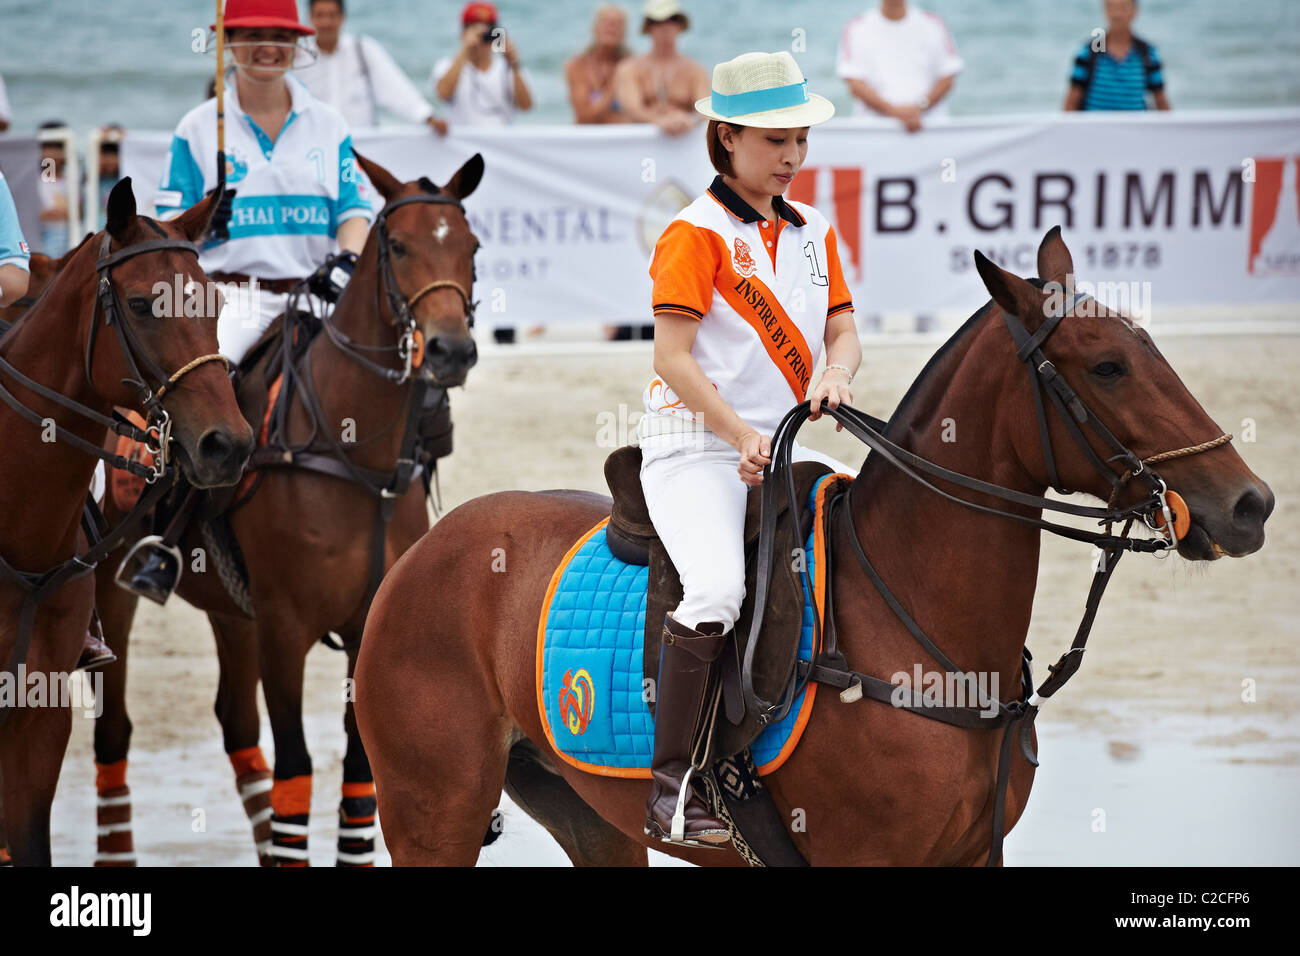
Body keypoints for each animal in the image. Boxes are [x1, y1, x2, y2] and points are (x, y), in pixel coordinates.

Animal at [89, 155, 483, 868]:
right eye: (398, 245)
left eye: (471, 247)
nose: (451, 350)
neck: (357, 460)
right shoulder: (285, 627)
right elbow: (297, 768)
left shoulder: (362, 628)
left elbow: (360, 772)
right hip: (110, 582)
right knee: (116, 733)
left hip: (229, 609)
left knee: (236, 724)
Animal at [353, 230, 1268, 868]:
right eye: (1109, 366)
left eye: (1151, 347)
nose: (1250, 503)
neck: (921, 633)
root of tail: (426, 549)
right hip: (434, 811)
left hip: (587, 815)